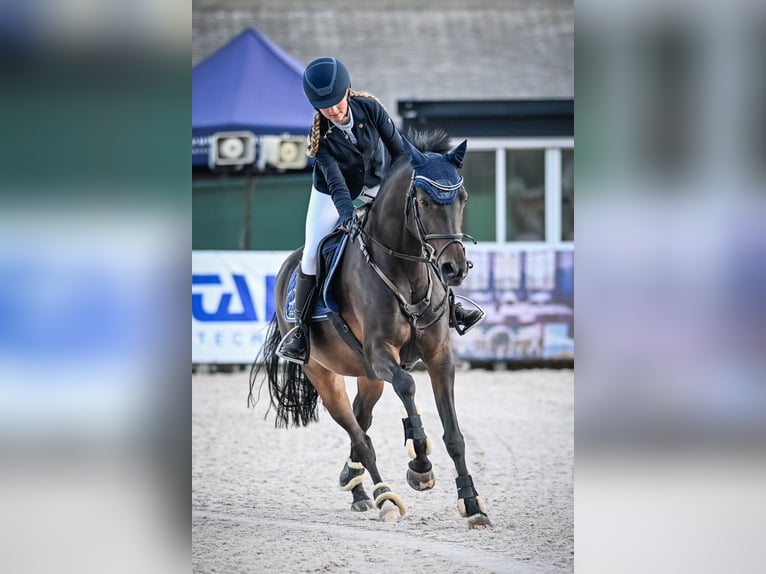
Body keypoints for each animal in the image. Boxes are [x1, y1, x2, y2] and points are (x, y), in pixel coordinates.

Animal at [249, 129, 496, 532]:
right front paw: (420, 466)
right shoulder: (382, 354)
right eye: (423, 201)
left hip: (368, 377)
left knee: (361, 421)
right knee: (358, 432)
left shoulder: (439, 357)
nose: (454, 269)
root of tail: (287, 266)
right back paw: (384, 497)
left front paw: (472, 503)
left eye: (462, 198)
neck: (407, 273)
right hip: (324, 374)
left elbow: (454, 435)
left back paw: (356, 485)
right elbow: (408, 387)